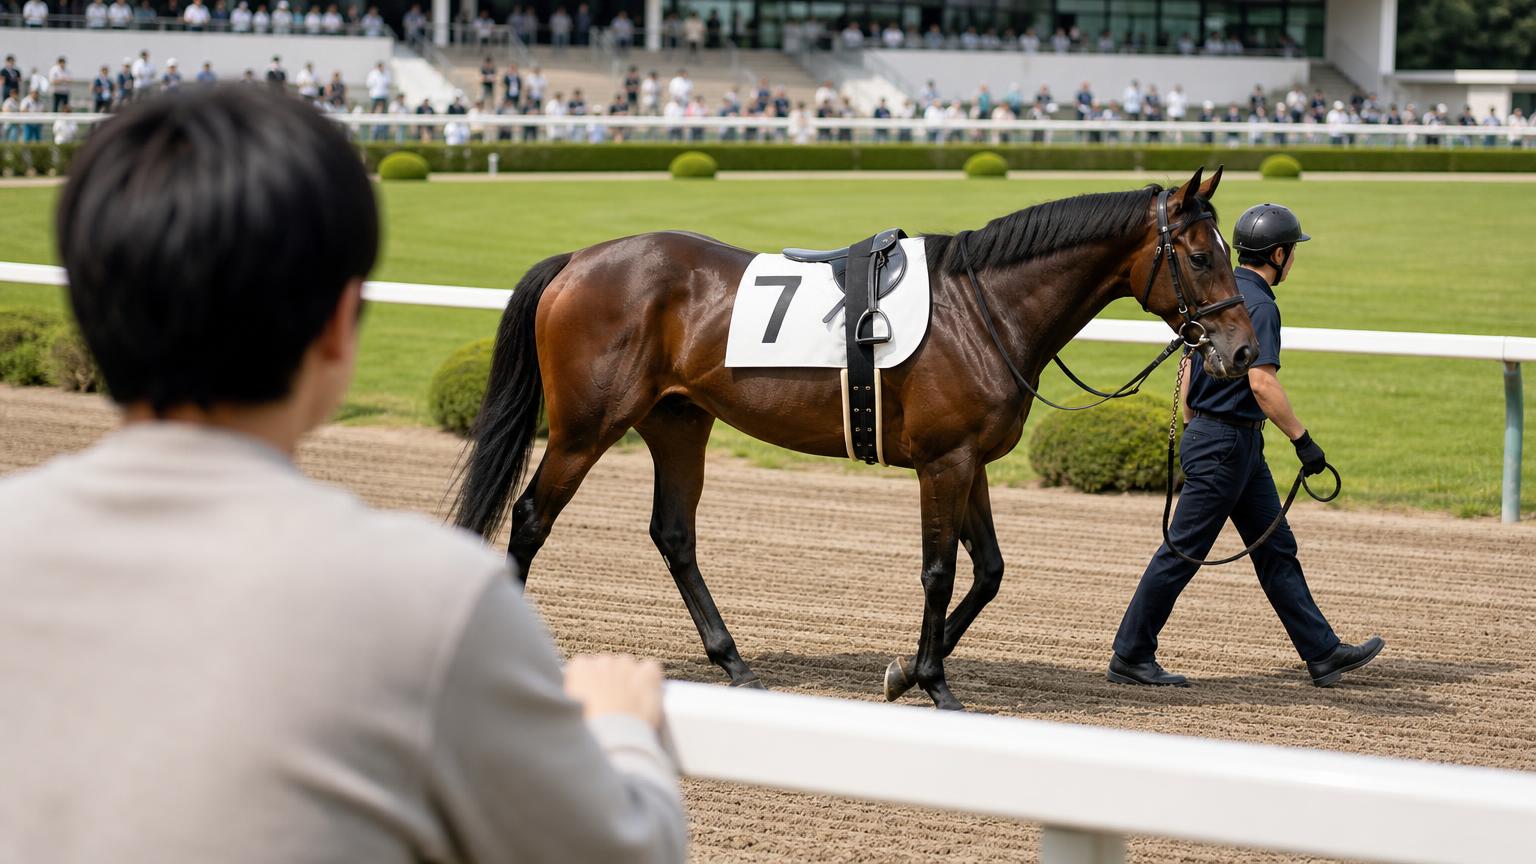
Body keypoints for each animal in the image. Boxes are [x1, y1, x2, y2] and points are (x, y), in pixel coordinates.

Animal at [452, 166, 1258, 711]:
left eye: (1228, 251)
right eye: (1198, 255)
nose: (1244, 350)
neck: (983, 307)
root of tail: (576, 261)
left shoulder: (971, 461)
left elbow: (990, 570)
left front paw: (905, 670)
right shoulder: (943, 463)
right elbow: (939, 570)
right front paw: (934, 683)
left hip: (678, 422)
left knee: (673, 533)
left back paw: (735, 662)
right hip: (586, 428)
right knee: (532, 517)